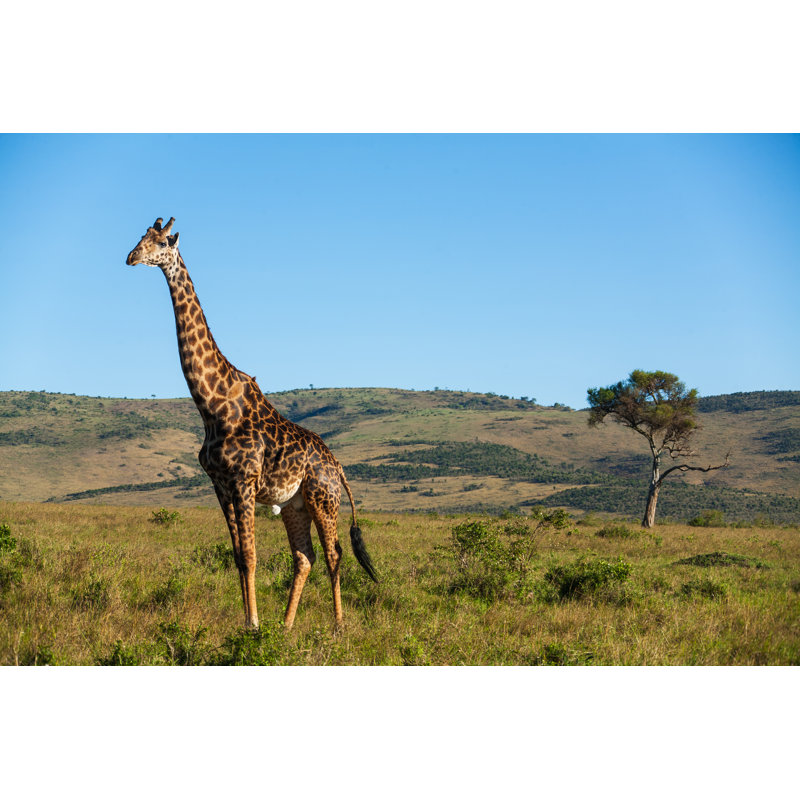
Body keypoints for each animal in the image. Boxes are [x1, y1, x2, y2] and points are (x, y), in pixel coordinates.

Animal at [125, 217, 377, 631]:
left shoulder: (243, 481)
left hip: (323, 499)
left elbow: (252, 555)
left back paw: (338, 626)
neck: (212, 405)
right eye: (140, 237)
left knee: (334, 553)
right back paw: (287, 626)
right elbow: (239, 557)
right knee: (304, 557)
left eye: (161, 242)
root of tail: (338, 466)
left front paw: (253, 625)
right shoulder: (220, 485)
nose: (131, 257)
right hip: (294, 505)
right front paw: (251, 622)